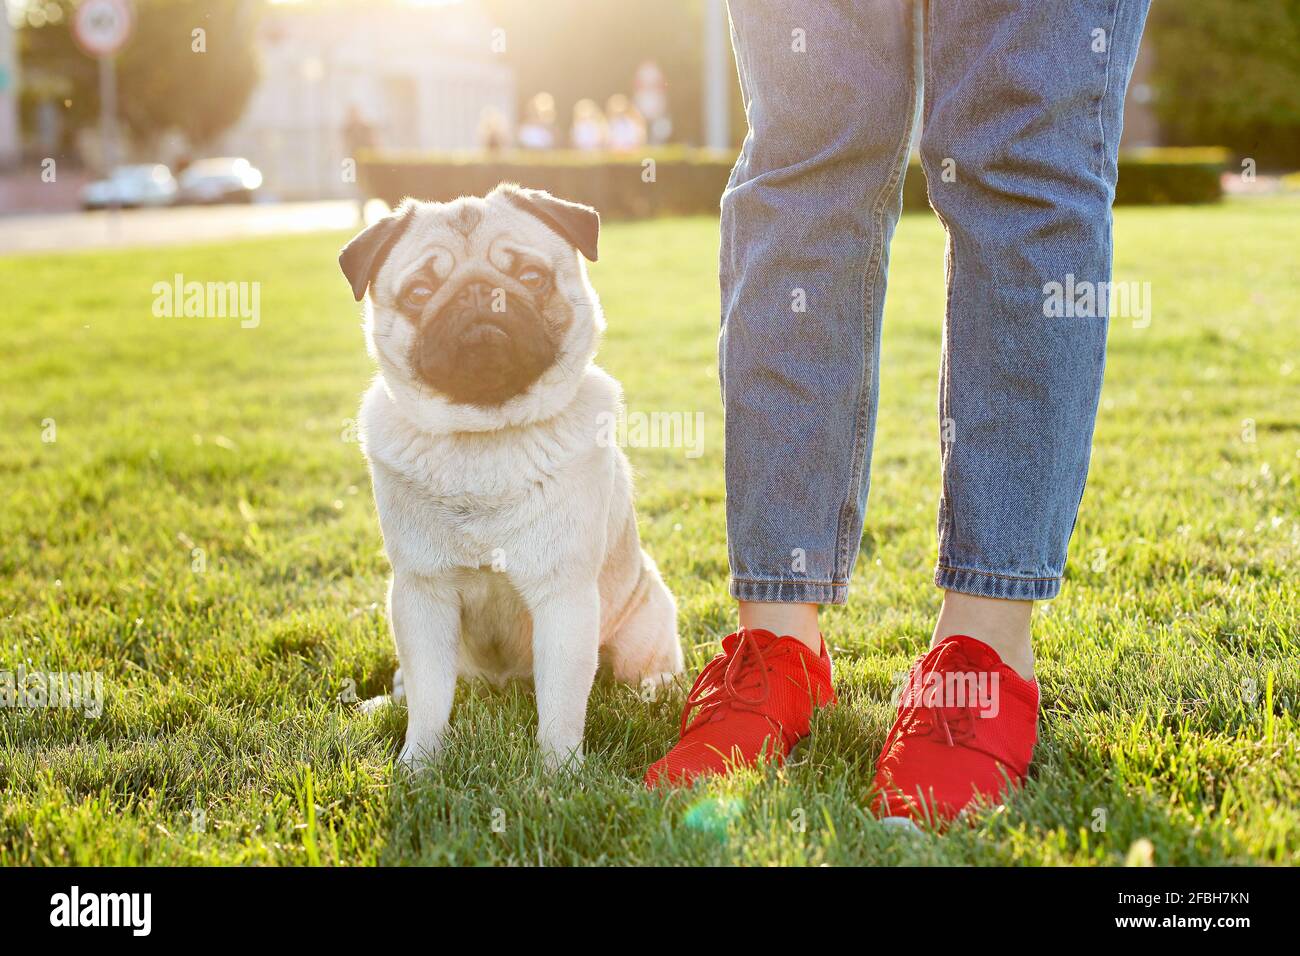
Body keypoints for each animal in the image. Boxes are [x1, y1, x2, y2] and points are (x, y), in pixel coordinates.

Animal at [338, 184, 681, 770]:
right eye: (420, 291)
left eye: (531, 277)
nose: (479, 294)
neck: (486, 436)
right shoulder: (422, 595)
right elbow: (430, 699)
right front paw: (418, 765)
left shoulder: (564, 597)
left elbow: (562, 705)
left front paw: (559, 774)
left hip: (645, 614)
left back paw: (652, 693)